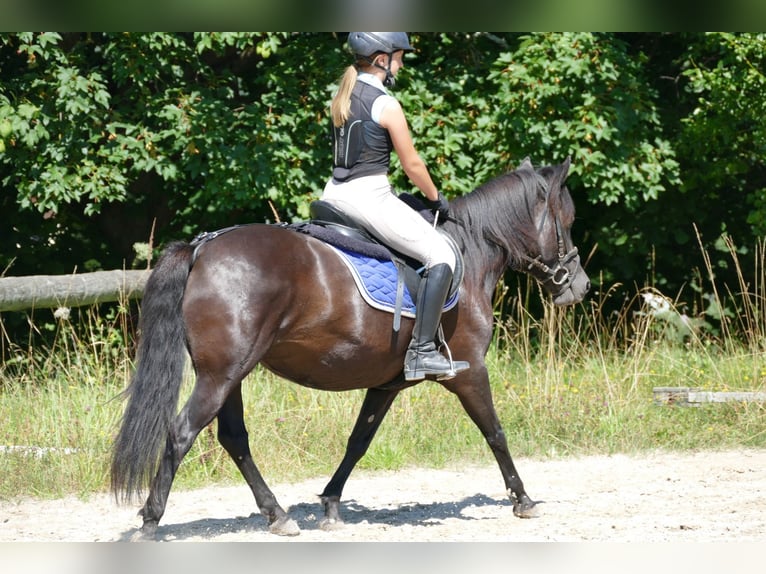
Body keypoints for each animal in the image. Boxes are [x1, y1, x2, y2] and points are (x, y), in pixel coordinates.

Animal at [109, 155, 592, 536]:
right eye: (567, 223)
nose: (580, 286)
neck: (469, 255)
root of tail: (202, 248)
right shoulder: (471, 371)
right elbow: (495, 432)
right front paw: (523, 500)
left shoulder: (387, 383)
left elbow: (358, 440)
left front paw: (330, 504)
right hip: (220, 375)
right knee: (181, 433)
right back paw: (151, 521)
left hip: (230, 375)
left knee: (234, 438)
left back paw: (278, 515)